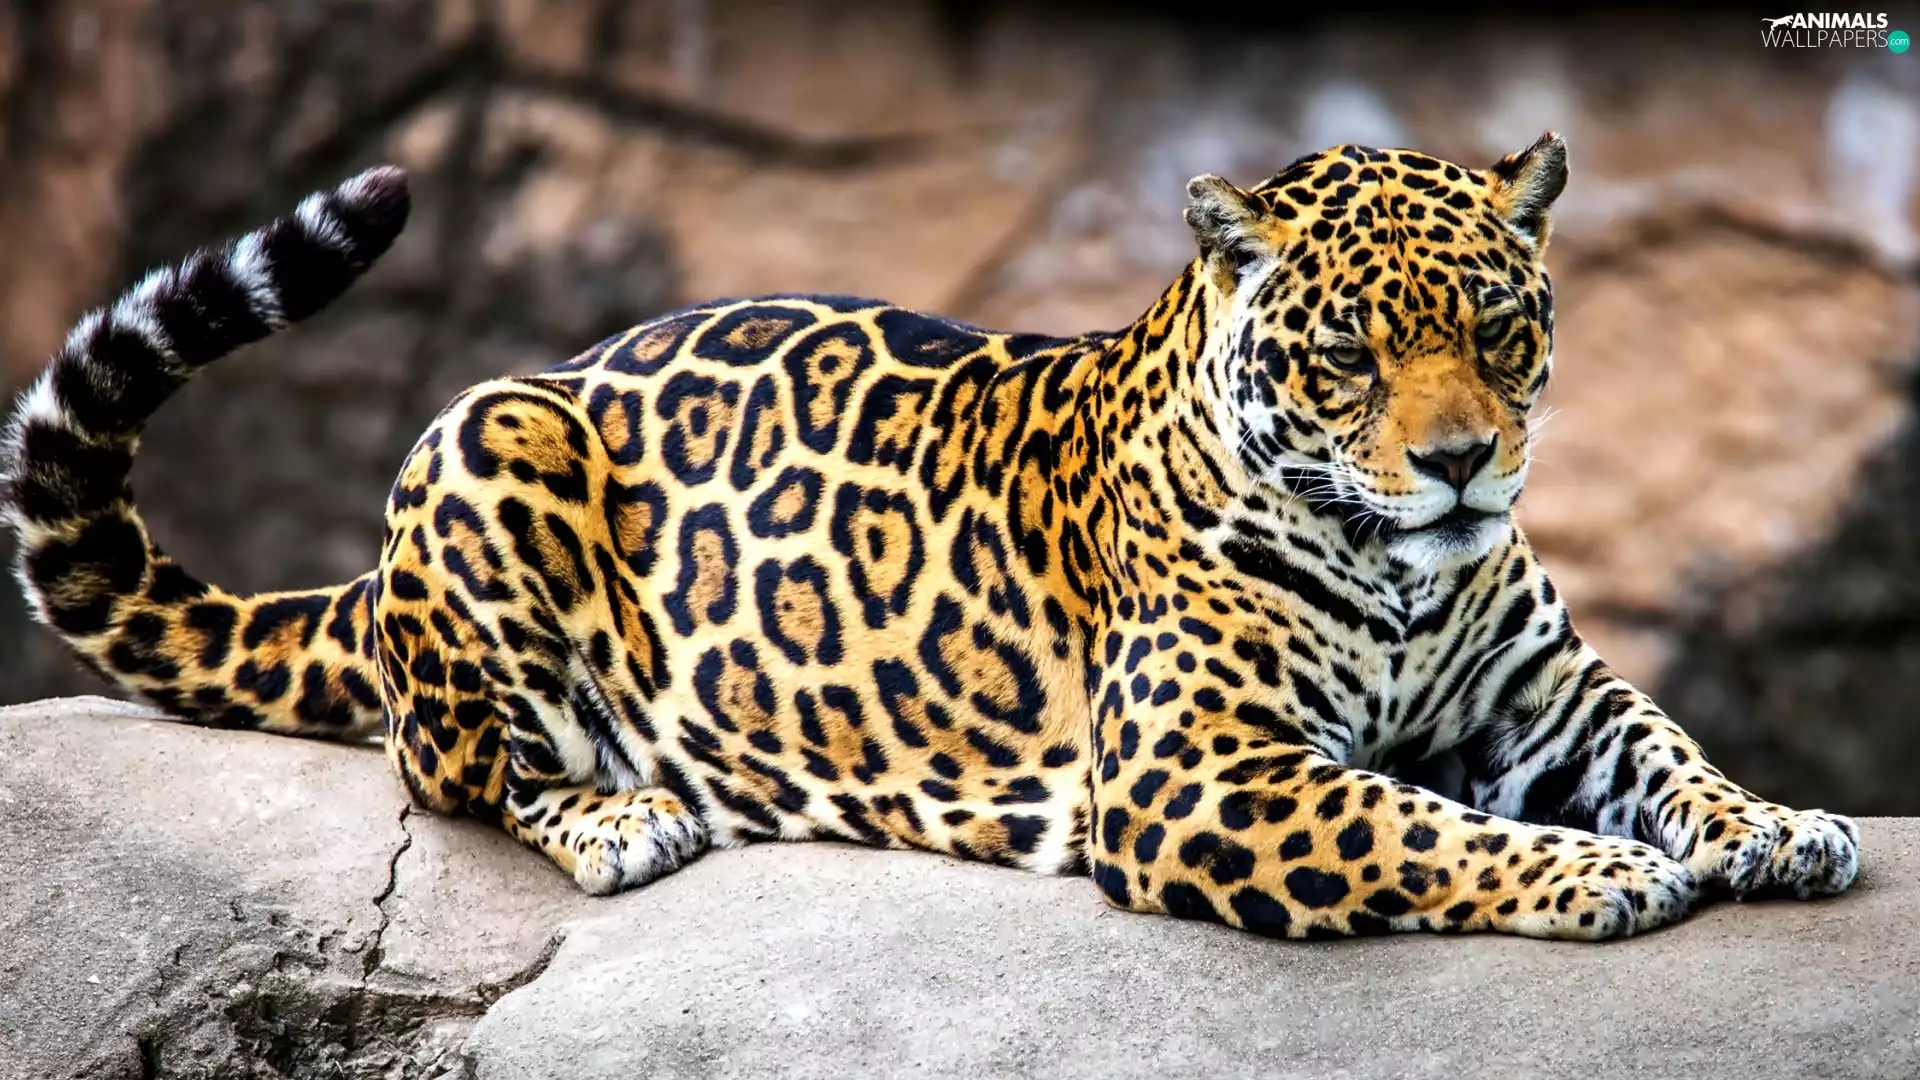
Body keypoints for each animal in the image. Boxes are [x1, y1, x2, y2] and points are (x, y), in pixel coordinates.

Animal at [2, 132, 1860, 940]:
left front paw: (1780, 826)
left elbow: (1671, 751)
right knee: (454, 769)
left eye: (1499, 328)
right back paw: (621, 818)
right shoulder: (1197, 779)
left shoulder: (1549, 701)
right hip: (486, 438)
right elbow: (1410, 825)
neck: (1400, 573)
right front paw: (1594, 874)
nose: (1465, 466)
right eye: (1348, 358)